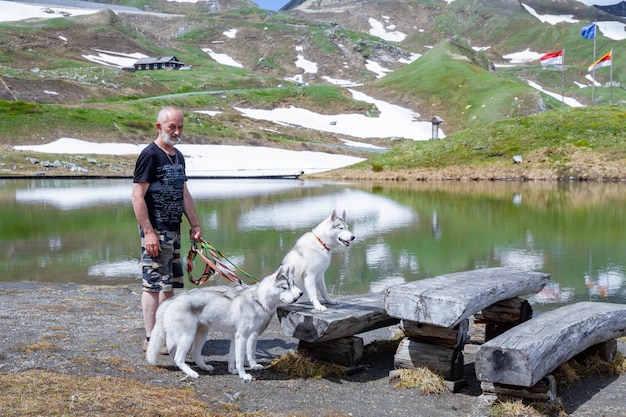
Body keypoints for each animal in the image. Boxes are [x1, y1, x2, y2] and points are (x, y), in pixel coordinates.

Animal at [146, 266, 302, 380]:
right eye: (284, 287)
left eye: (293, 284)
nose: (299, 295)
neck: (257, 300)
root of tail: (170, 301)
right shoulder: (243, 337)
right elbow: (241, 359)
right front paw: (244, 375)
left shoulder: (236, 337)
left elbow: (233, 357)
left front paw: (233, 370)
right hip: (188, 336)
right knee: (179, 357)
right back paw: (191, 373)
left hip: (200, 334)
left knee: (190, 353)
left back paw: (203, 367)